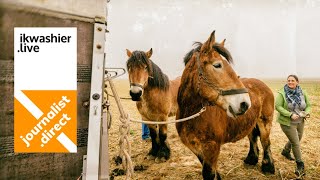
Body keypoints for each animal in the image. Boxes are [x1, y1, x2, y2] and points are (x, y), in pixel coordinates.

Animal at [178, 31, 276, 179]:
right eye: (217, 65)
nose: (245, 103)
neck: (192, 115)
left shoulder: (212, 148)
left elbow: (209, 173)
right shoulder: (197, 149)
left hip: (265, 122)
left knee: (266, 142)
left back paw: (268, 167)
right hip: (250, 123)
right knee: (253, 138)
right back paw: (251, 159)